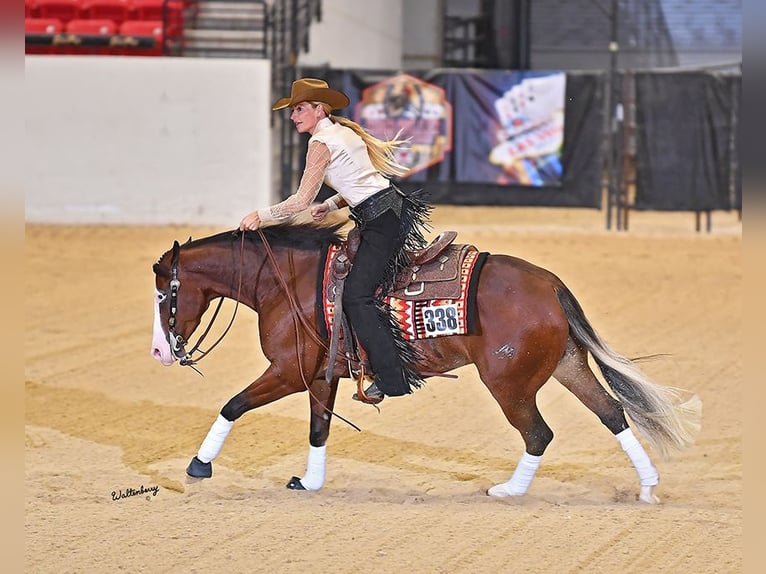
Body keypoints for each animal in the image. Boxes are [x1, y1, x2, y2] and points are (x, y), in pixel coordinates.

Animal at [150, 222, 701, 503]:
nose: (160, 352)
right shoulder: (318, 376)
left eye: (163, 293)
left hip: (509, 383)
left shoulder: (287, 372)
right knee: (612, 413)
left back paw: (508, 490)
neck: (287, 280)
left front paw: (198, 466)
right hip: (566, 366)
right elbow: (319, 428)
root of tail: (549, 284)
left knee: (538, 433)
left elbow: (233, 404)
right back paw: (648, 487)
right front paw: (310, 481)